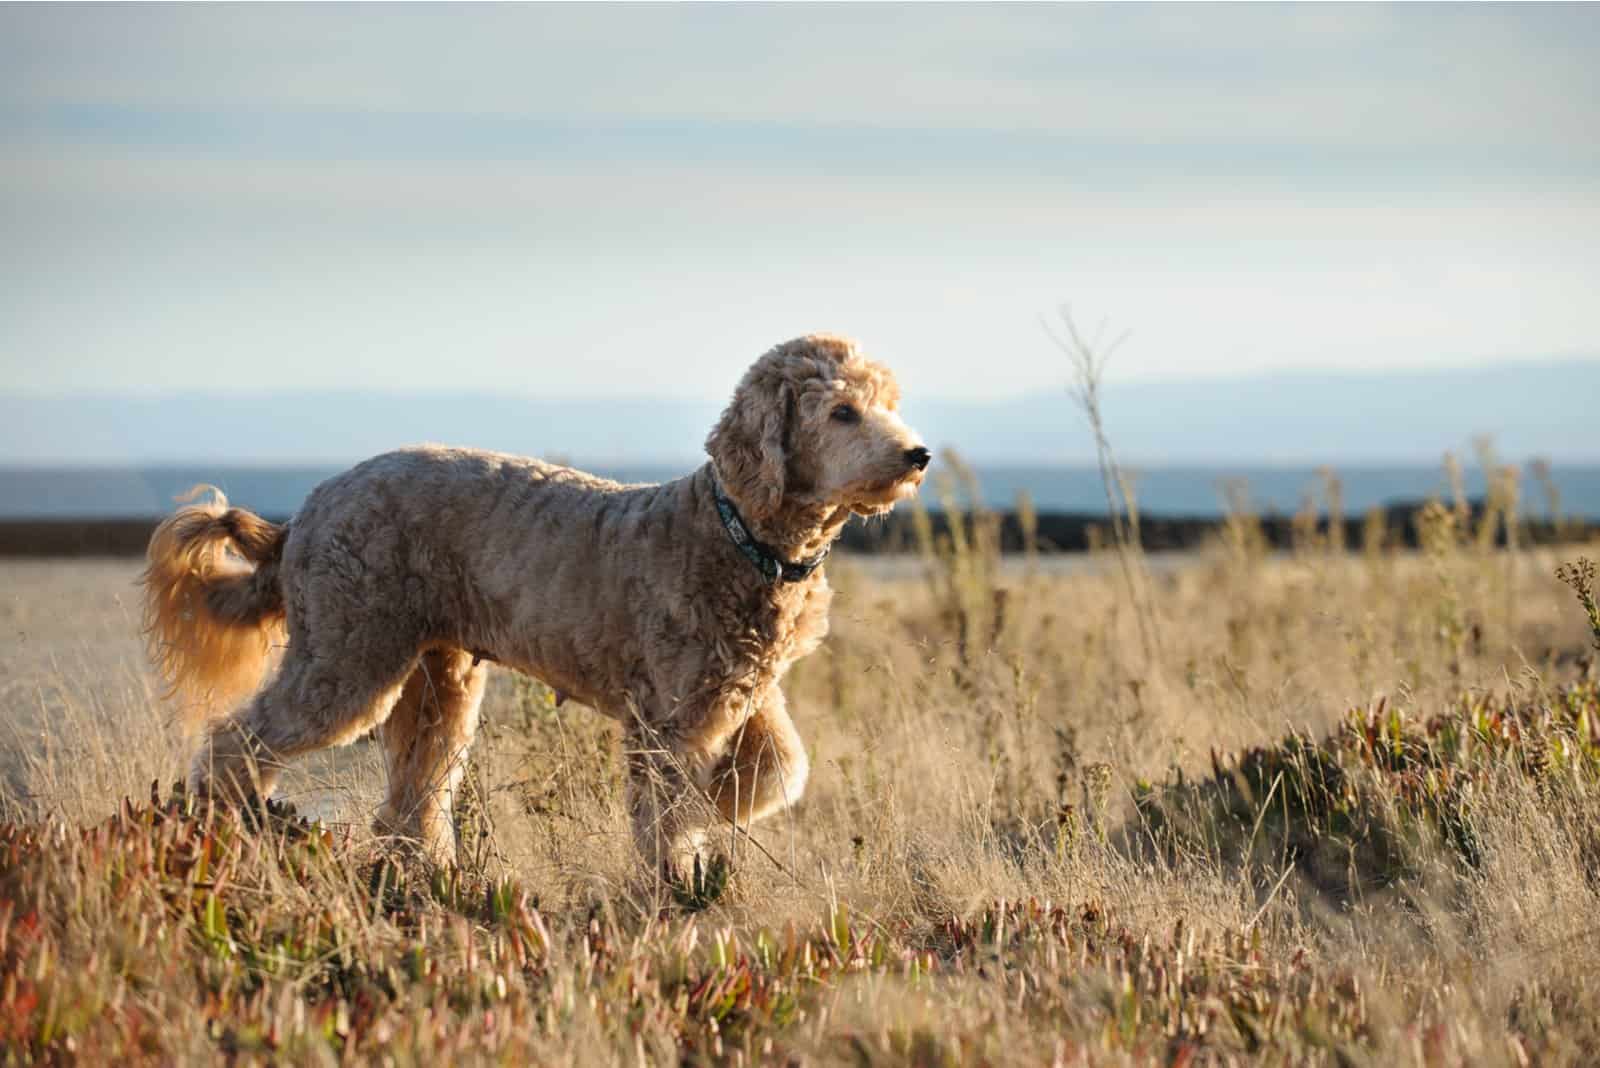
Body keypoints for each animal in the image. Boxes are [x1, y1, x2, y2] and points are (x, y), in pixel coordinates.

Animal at [144, 330, 934, 876]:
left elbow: (779, 769)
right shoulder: (669, 716)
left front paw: (720, 811)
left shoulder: (743, 691)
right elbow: (670, 808)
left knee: (414, 792)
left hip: (439, 679)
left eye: (889, 405)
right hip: (347, 657)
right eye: (842, 412)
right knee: (238, 738)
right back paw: (226, 823)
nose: (918, 454)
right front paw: (679, 876)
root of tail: (305, 513)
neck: (736, 533)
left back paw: (425, 869)